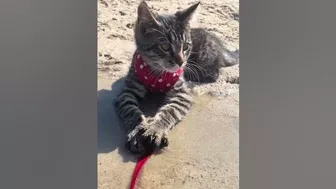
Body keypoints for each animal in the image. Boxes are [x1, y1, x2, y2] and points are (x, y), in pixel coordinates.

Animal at [114, 1, 238, 155]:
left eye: (185, 47)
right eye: (165, 46)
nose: (181, 62)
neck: (158, 74)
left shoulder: (182, 94)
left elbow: (169, 111)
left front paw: (155, 129)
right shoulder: (127, 92)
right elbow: (131, 110)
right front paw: (137, 130)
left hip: (205, 58)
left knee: (214, 73)